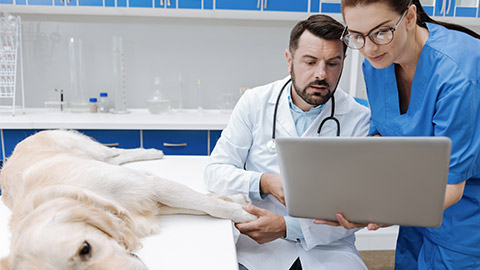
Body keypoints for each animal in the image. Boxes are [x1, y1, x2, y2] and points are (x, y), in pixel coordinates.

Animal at [0, 130, 256, 268]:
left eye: (85, 249)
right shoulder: (150, 205)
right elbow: (207, 204)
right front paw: (236, 200)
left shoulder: (148, 185)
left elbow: (209, 204)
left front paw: (243, 213)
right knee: (116, 158)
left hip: (91, 150)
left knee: (116, 152)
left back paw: (152, 151)